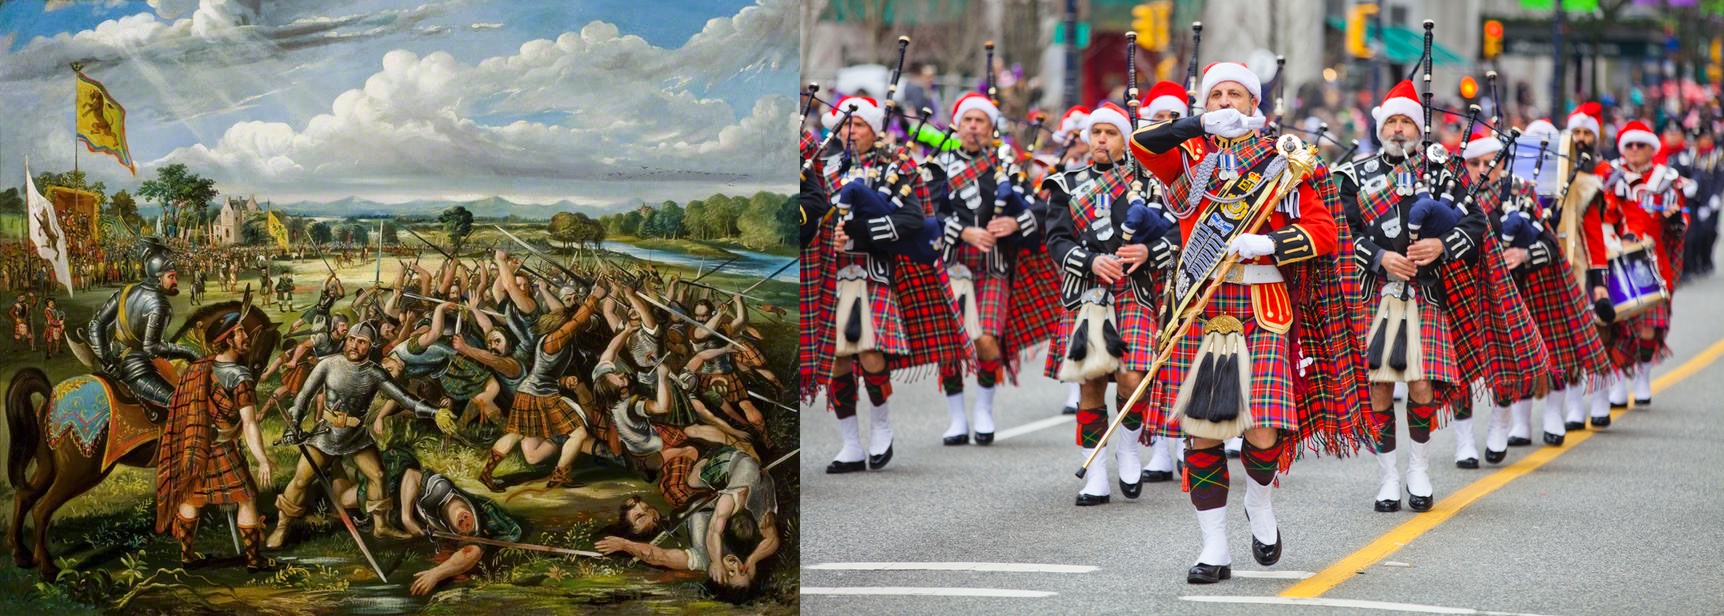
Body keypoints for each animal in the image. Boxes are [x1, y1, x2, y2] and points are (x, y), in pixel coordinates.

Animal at [5, 300, 275, 579]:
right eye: (257, 363)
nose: (246, 399)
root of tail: (51, 396)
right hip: (79, 472)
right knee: (41, 509)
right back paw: (46, 567)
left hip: (50, 467)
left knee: (24, 496)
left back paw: (21, 555)